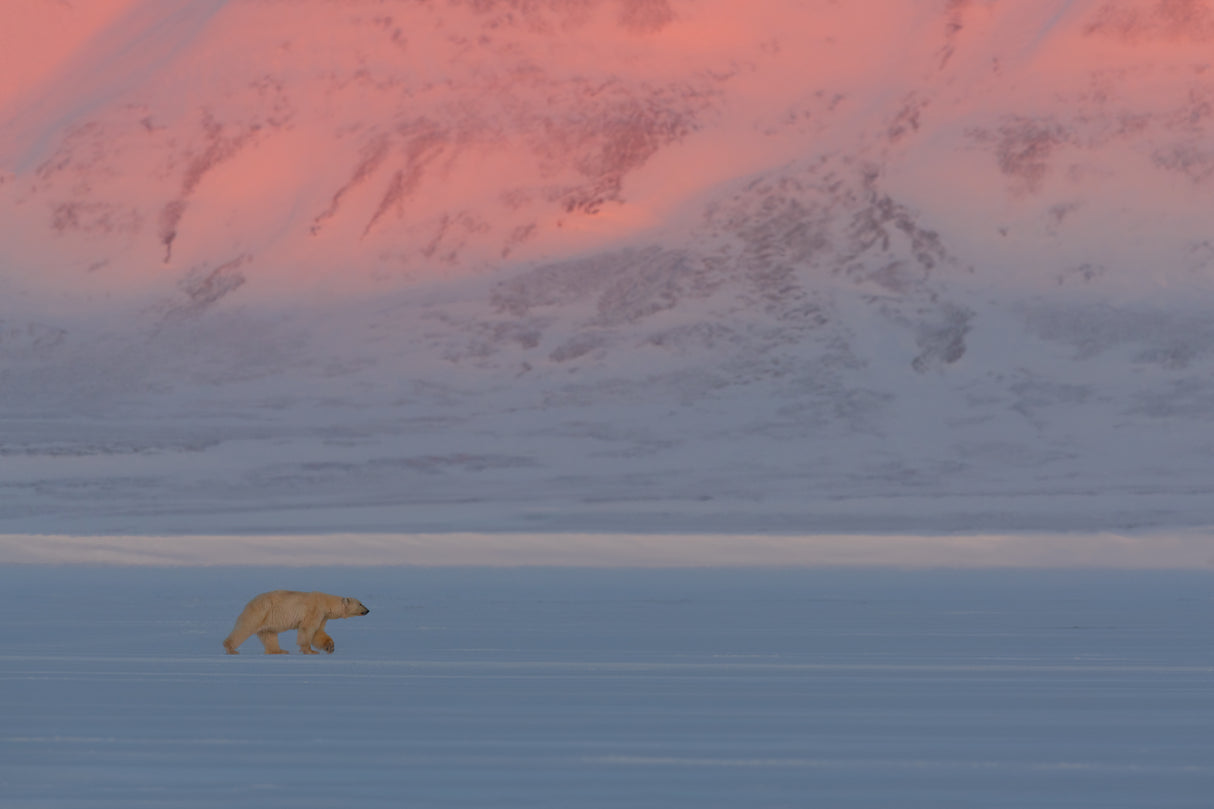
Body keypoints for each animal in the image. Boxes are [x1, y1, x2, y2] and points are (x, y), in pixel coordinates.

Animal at [220, 590, 366, 651]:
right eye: (360, 603)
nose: (368, 610)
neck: (326, 602)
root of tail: (249, 602)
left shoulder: (323, 616)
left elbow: (318, 632)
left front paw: (330, 646)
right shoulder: (315, 610)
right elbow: (307, 629)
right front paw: (309, 650)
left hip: (267, 619)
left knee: (269, 635)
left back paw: (279, 651)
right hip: (260, 612)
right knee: (245, 628)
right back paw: (230, 647)